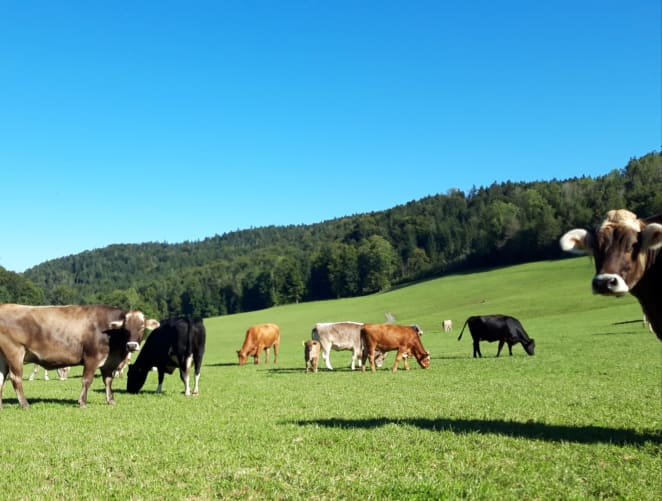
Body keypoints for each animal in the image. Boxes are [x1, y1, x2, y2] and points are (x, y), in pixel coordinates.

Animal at [0, 304, 160, 406]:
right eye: (126, 329)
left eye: (142, 327)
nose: (131, 346)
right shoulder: (91, 358)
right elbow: (87, 380)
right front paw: (82, 402)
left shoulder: (108, 363)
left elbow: (108, 381)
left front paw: (111, 400)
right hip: (15, 352)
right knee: (15, 378)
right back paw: (25, 404)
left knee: (1, 379)